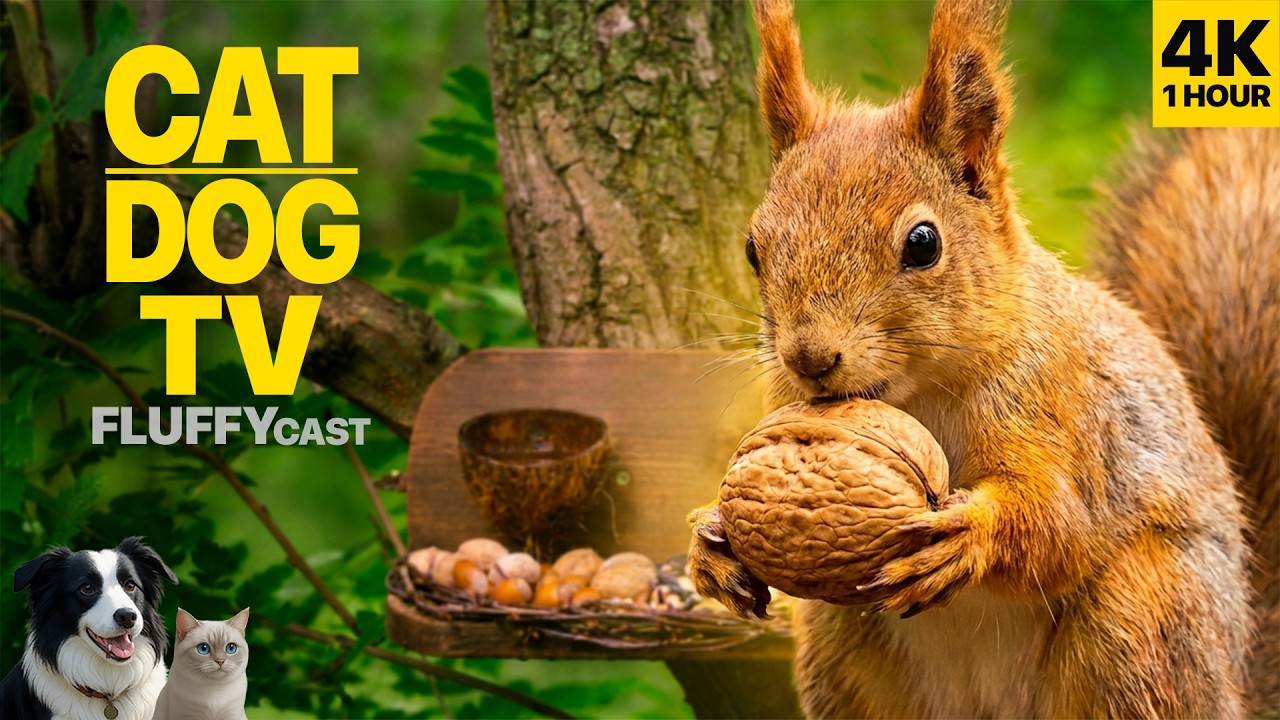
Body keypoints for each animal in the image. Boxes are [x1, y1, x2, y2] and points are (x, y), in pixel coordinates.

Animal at [687, 0, 1278, 717]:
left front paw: (972, 534)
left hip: (1141, 619)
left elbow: (1060, 525)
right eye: (753, 247)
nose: (809, 357)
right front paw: (708, 540)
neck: (914, 396)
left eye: (923, 243)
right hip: (840, 650)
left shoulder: (1062, 409)